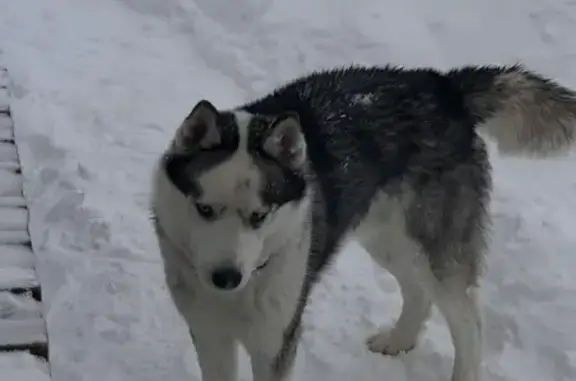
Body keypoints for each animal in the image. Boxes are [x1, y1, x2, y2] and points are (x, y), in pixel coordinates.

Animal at [150, 63, 576, 380]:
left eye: (260, 216)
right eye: (204, 209)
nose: (226, 277)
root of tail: (441, 85)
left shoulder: (275, 340)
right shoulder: (210, 335)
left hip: (435, 247)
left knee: (468, 322)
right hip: (387, 239)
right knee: (418, 291)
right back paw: (399, 340)